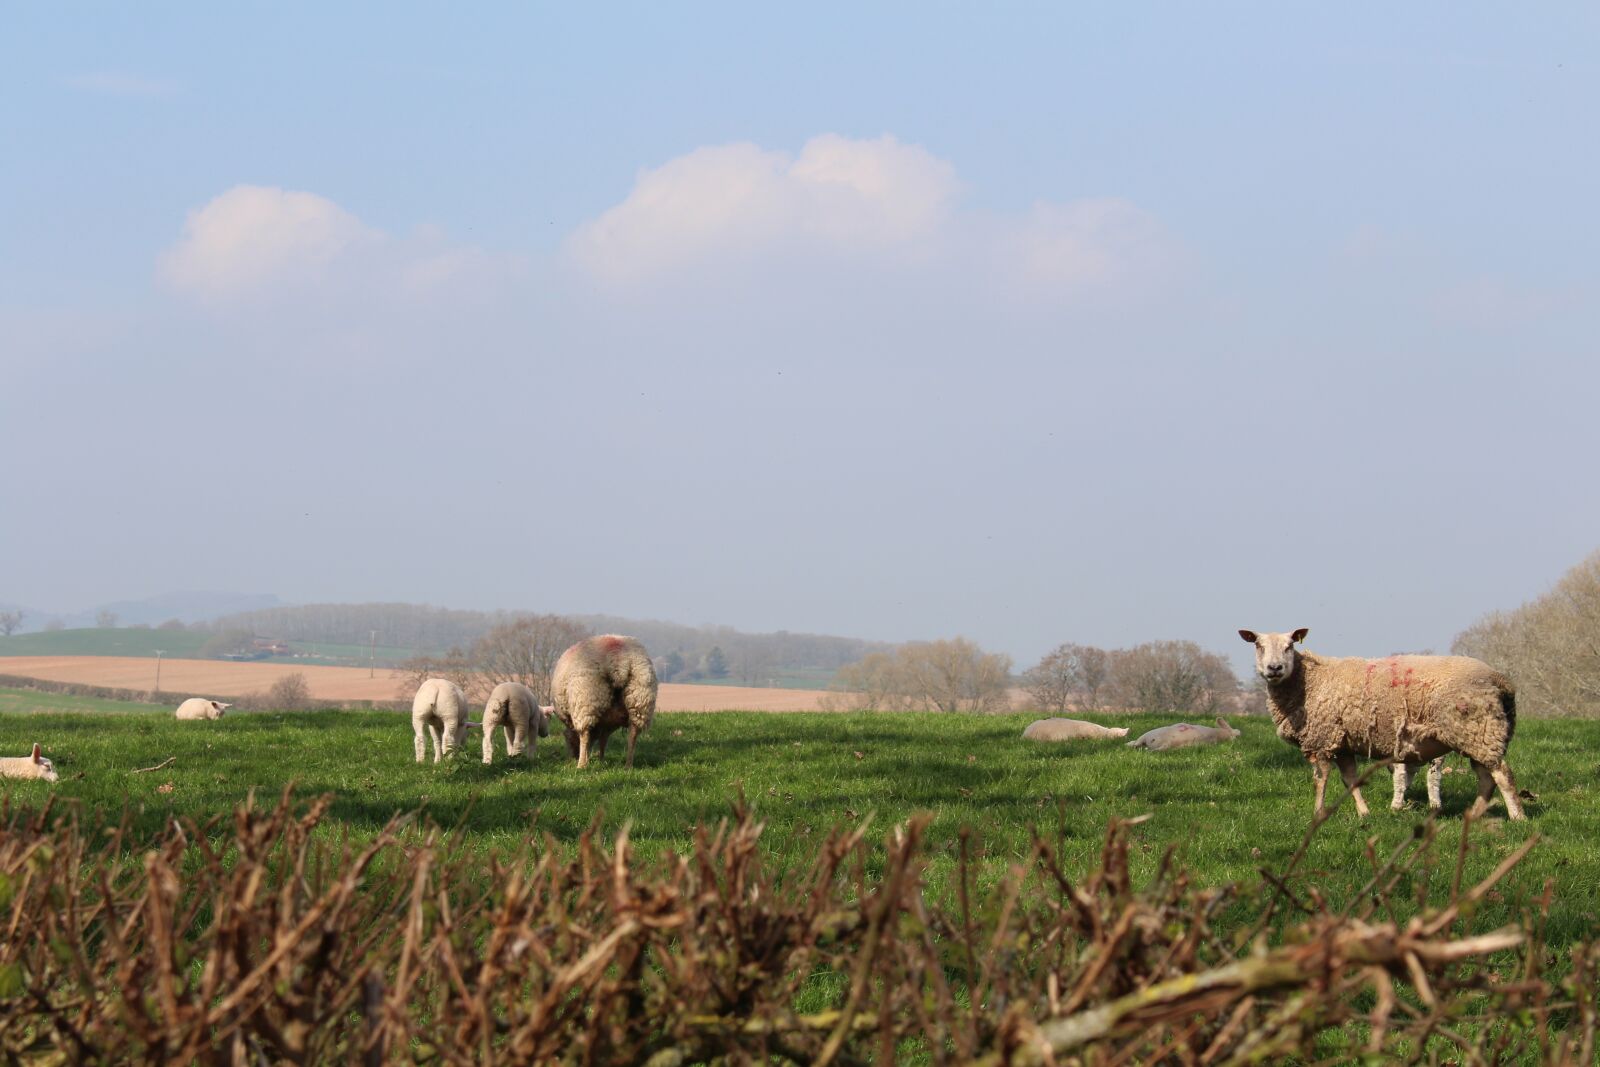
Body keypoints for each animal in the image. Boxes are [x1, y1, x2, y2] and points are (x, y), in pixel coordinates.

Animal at [549, 635, 657, 768]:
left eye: (568, 741)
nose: (572, 757)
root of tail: (619, 658)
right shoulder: (608, 723)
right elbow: (603, 741)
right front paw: (601, 759)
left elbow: (591, 739)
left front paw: (589, 759)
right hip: (640, 699)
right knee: (633, 735)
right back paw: (628, 765)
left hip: (586, 699)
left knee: (584, 733)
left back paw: (581, 765)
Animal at [1239, 628, 1523, 820]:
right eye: (1258, 646)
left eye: (1289, 646)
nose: (1274, 668)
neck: (1308, 681)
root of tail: (1498, 678)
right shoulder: (1342, 743)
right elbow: (1350, 779)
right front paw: (1363, 813)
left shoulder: (1321, 739)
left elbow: (1320, 780)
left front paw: (1318, 813)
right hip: (1480, 735)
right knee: (1486, 779)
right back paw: (1474, 814)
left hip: (1478, 731)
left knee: (1503, 775)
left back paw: (1517, 816)